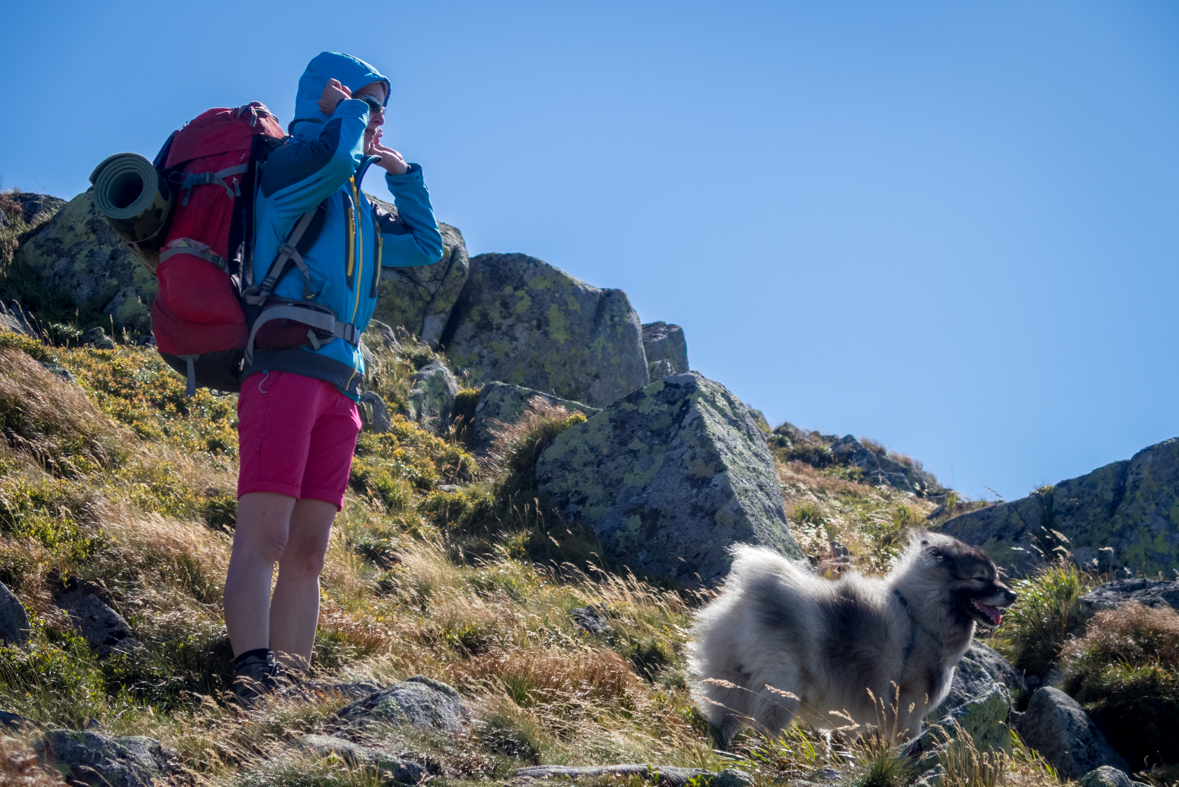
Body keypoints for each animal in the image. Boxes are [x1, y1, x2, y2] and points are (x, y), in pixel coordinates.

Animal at [688, 527, 1018, 744]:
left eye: (996, 577)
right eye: (980, 578)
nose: (1013, 595)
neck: (921, 615)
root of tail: (751, 595)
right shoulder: (909, 712)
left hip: (731, 682)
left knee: (724, 723)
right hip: (782, 690)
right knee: (764, 729)